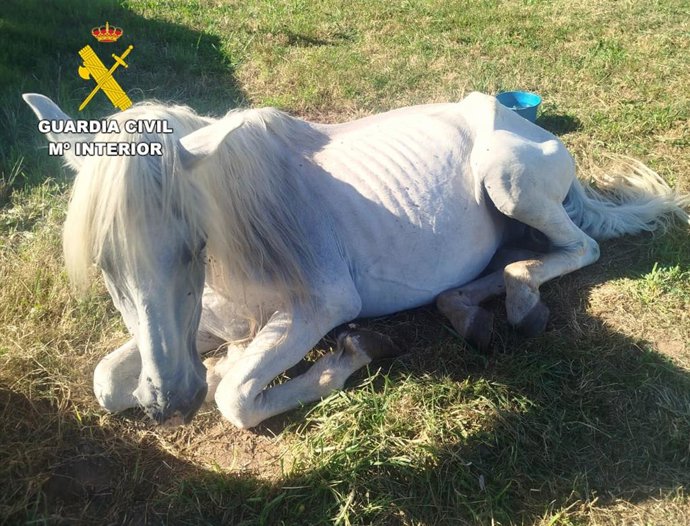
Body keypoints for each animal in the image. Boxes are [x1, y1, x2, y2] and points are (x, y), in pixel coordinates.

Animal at [23, 92, 689, 428]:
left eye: (194, 244)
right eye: (105, 264)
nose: (171, 405)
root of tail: (519, 120)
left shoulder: (322, 305)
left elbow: (236, 398)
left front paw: (353, 353)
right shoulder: (202, 323)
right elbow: (107, 382)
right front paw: (208, 367)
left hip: (511, 183)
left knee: (579, 248)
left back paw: (522, 305)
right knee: (506, 262)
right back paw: (467, 311)